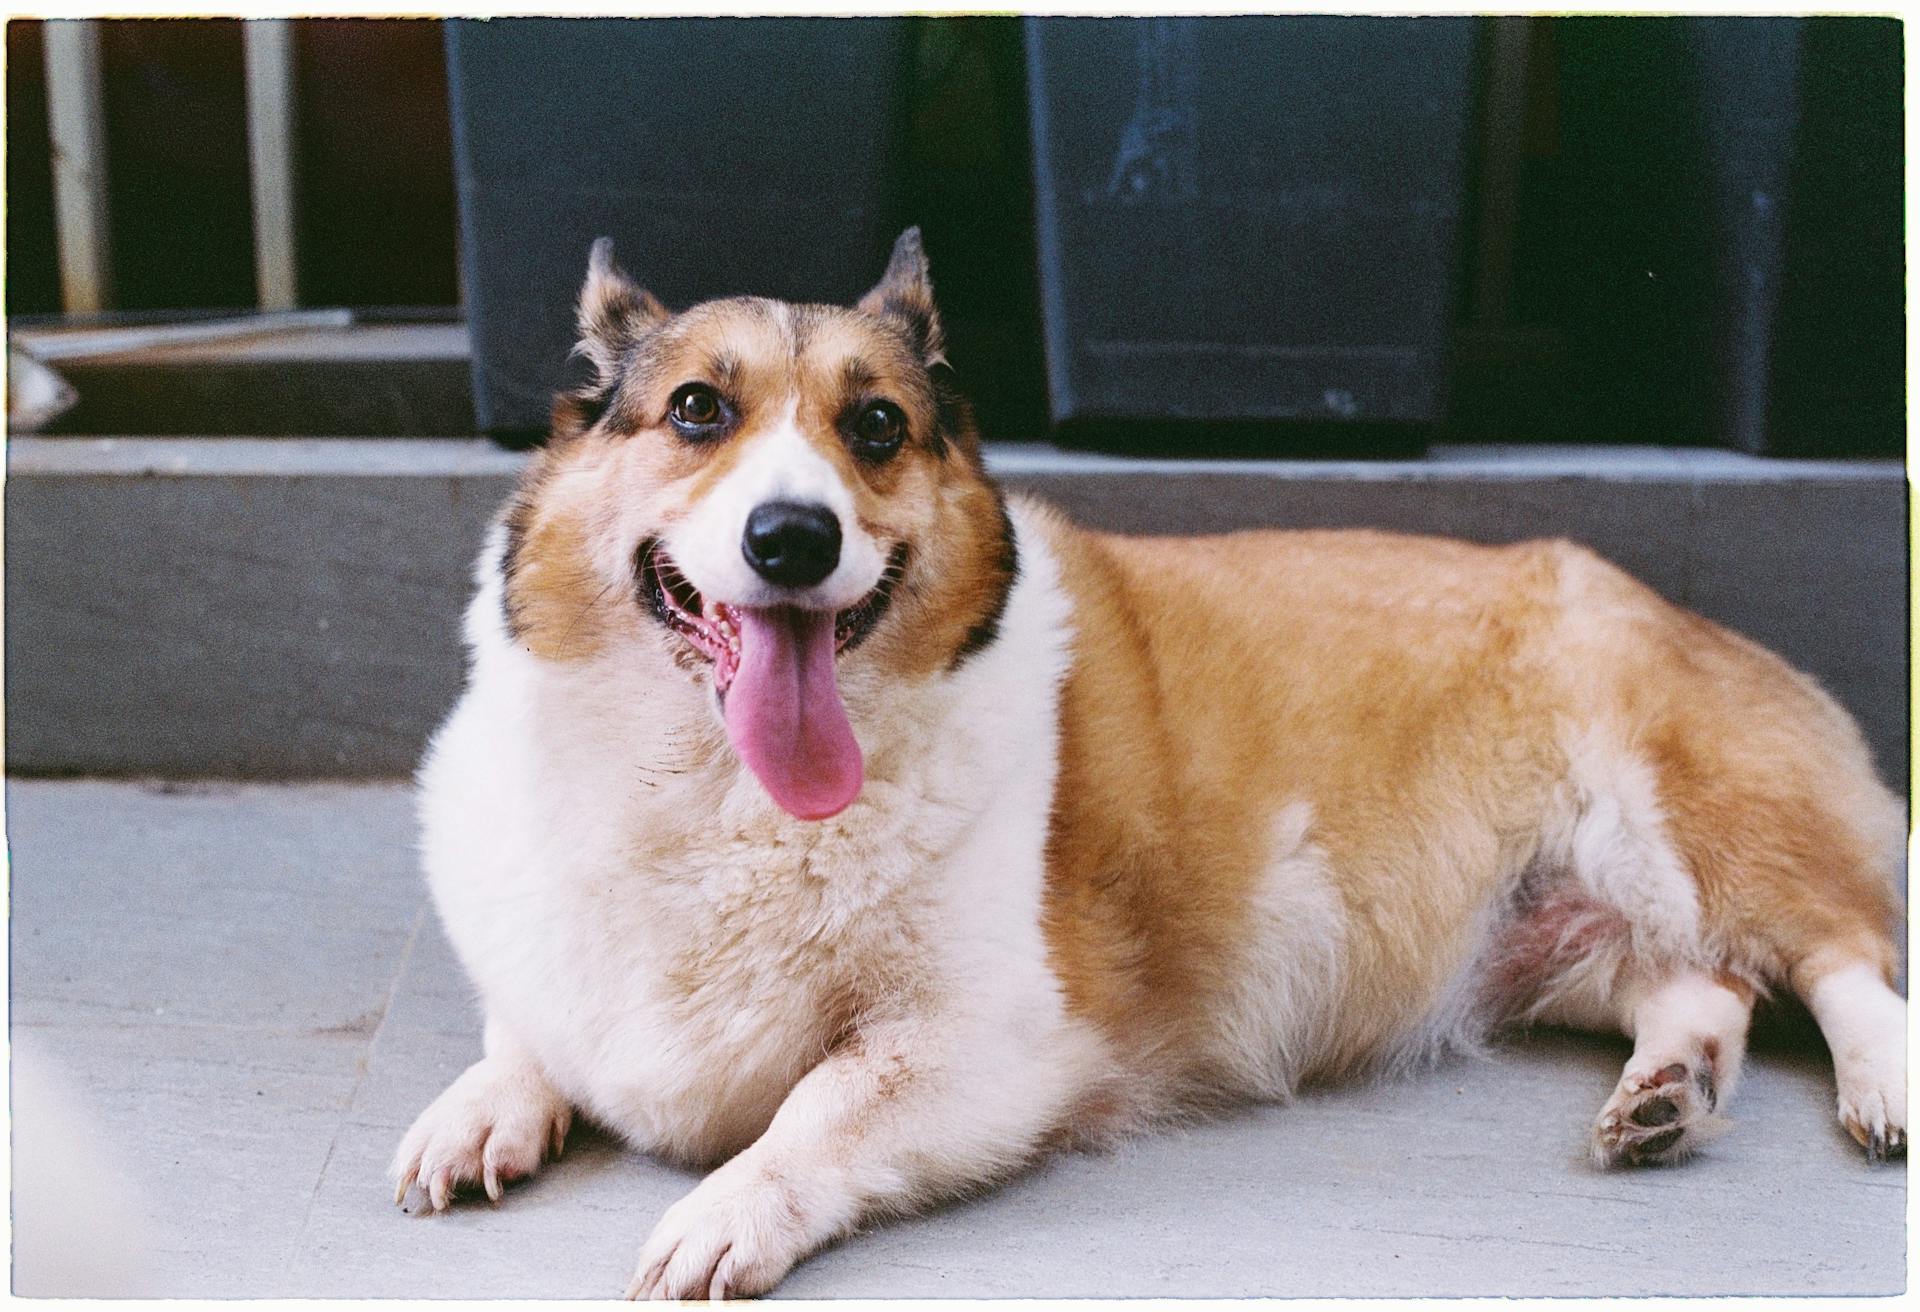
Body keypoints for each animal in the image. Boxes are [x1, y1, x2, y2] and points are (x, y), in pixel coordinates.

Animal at [393, 230, 1904, 1298]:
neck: (716, 792)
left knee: (1836, 956)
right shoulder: (564, 973)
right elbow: (528, 1032)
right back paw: (1668, 1097)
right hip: (1572, 937)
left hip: (1700, 823)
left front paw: (721, 1214)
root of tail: (1674, 605)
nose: (793, 540)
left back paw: (1880, 1086)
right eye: (699, 410)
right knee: (1702, 985)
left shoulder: (990, 1044)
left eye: (875, 428)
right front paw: (477, 1113)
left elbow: (817, 1109)